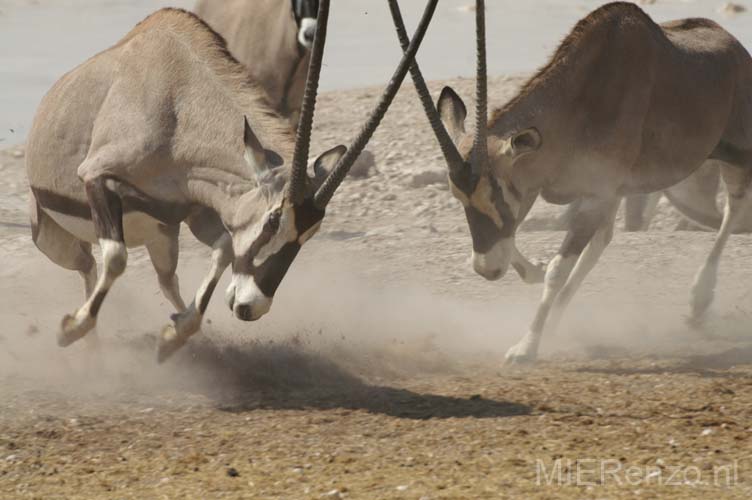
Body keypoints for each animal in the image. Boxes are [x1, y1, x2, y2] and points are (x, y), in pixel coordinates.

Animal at [26, 0, 438, 362]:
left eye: (310, 235)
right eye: (273, 220)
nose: (251, 307)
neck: (178, 104)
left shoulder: (199, 209)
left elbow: (224, 247)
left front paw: (175, 334)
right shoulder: (97, 177)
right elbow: (116, 257)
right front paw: (70, 328)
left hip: (162, 234)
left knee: (164, 278)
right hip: (55, 240)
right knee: (89, 264)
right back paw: (89, 340)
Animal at [394, 1, 752, 366]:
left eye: (498, 193)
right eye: (459, 198)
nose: (486, 269)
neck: (582, 97)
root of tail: (736, 49)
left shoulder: (592, 196)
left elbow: (557, 269)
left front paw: (525, 347)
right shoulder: (559, 190)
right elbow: (527, 248)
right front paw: (534, 280)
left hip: (736, 159)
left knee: (733, 211)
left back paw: (699, 300)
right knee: (601, 243)